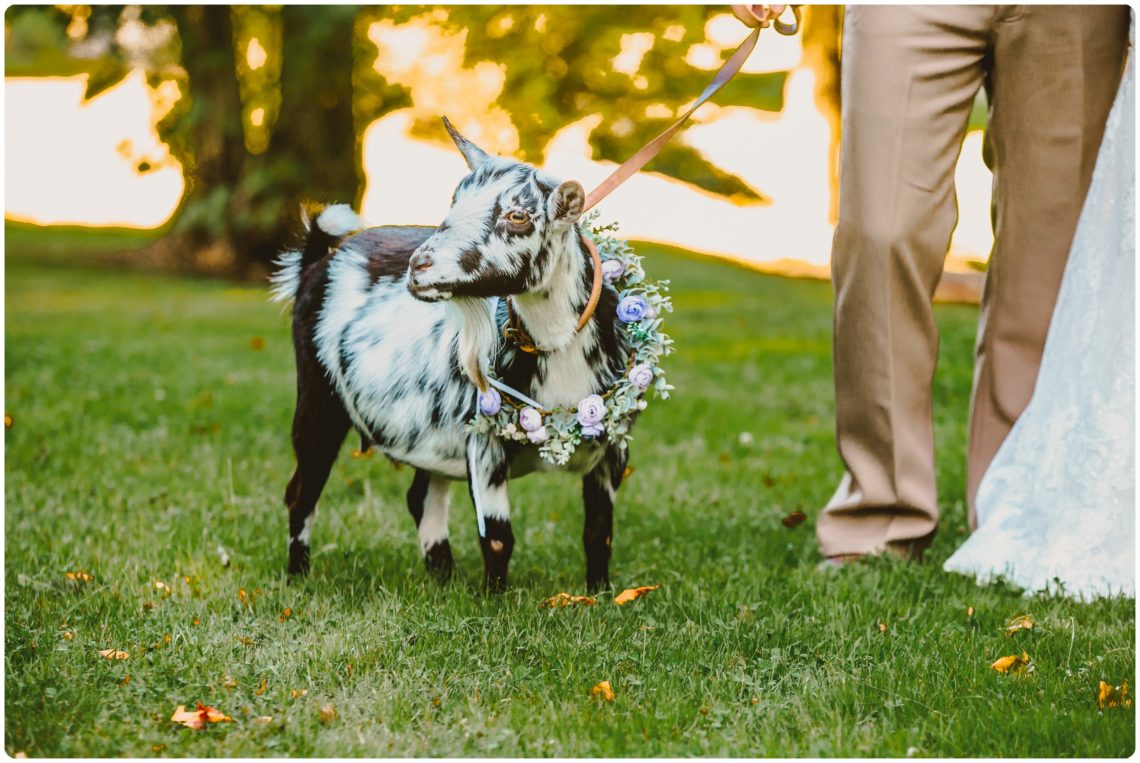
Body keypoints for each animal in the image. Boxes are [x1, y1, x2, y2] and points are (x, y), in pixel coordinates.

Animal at [272, 117, 638, 588]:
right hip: (319, 394)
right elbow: (498, 537)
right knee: (302, 489)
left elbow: (599, 533)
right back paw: (298, 574)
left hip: (428, 432)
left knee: (420, 494)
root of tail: (320, 258)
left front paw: (600, 594)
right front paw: (495, 599)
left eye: (517, 215)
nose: (418, 266)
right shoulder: (482, 442)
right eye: (454, 199)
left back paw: (442, 575)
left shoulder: (613, 448)